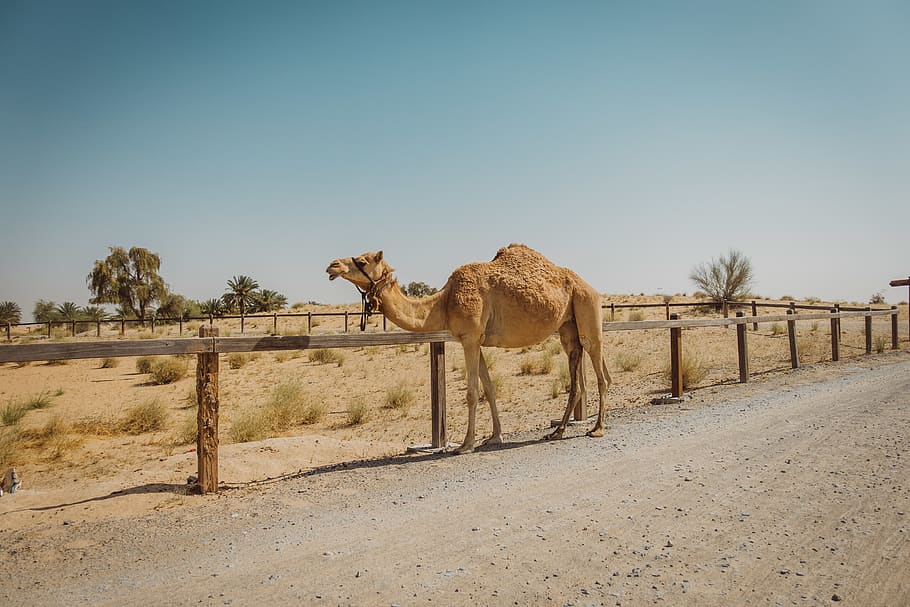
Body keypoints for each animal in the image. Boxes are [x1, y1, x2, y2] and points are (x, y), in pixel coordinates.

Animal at [326, 244, 612, 454]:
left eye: (362, 261)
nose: (332, 265)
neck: (443, 302)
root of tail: (591, 288)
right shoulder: (476, 340)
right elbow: (489, 387)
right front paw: (494, 436)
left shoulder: (470, 338)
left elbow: (472, 392)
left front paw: (465, 444)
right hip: (567, 328)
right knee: (577, 375)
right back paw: (557, 431)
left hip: (587, 311)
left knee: (601, 373)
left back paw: (597, 429)